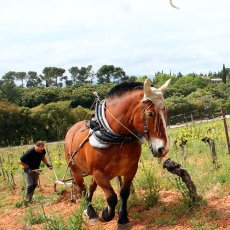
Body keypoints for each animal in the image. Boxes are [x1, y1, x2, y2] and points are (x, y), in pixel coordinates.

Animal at [64, 78, 171, 224]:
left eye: (166, 111)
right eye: (150, 114)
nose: (163, 149)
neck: (117, 137)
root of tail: (71, 129)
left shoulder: (131, 168)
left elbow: (124, 193)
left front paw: (123, 216)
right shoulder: (98, 172)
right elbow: (112, 197)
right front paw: (106, 213)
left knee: (91, 188)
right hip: (75, 169)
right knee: (82, 189)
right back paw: (90, 212)